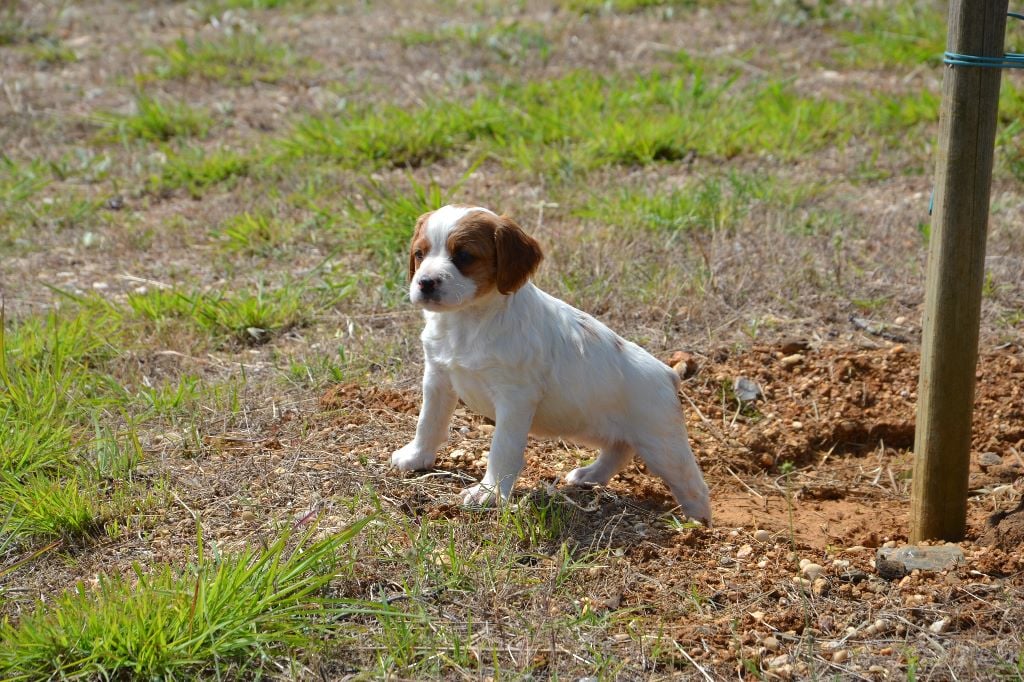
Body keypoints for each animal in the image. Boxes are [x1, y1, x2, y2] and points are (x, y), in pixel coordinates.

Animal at [391, 202, 712, 520]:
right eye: (419, 254)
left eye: (464, 256)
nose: (425, 283)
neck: (467, 320)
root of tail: (667, 373)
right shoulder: (437, 378)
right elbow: (428, 421)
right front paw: (416, 457)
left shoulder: (515, 399)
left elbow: (502, 448)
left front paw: (488, 493)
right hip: (595, 427)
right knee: (618, 450)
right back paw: (589, 476)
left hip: (662, 443)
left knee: (693, 484)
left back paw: (697, 522)